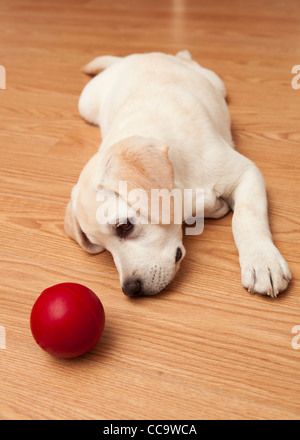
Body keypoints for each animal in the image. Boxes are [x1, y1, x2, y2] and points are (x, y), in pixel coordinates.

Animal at [64, 51, 292, 300]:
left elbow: (246, 217)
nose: (130, 290)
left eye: (124, 226)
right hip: (86, 104)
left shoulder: (246, 172)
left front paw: (262, 263)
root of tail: (136, 56)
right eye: (103, 247)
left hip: (216, 83)